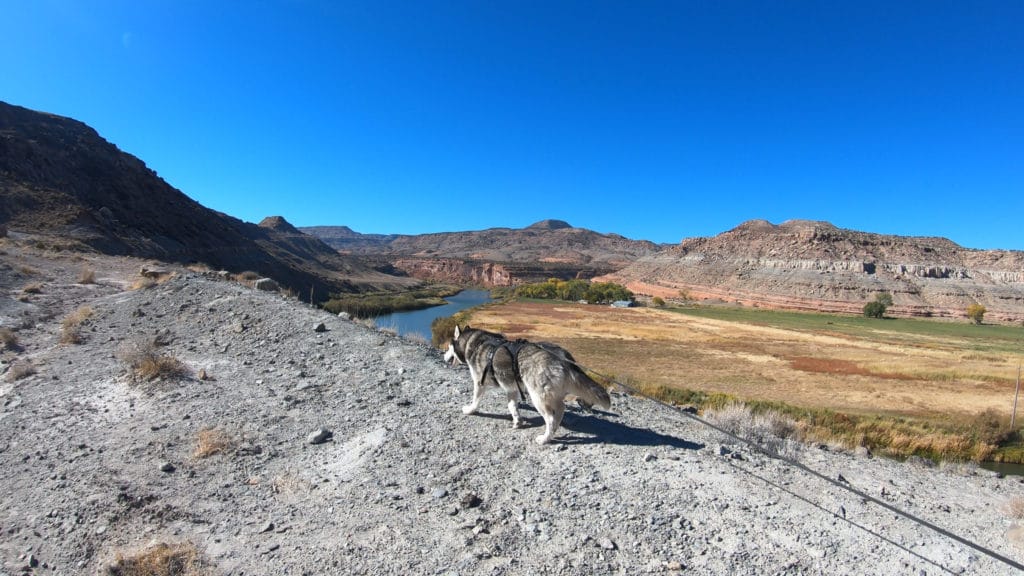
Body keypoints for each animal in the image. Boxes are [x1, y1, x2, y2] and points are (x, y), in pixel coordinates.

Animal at [446, 325, 606, 440]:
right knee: (561, 408)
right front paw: (517, 420)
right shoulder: (511, 388)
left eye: (448, 347)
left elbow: (475, 400)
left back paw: (545, 439)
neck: (475, 343)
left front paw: (470, 410)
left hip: (537, 397)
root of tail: (563, 357)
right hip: (552, 393)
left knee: (550, 418)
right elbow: (512, 406)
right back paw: (555, 428)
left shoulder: (480, 383)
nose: (444, 356)